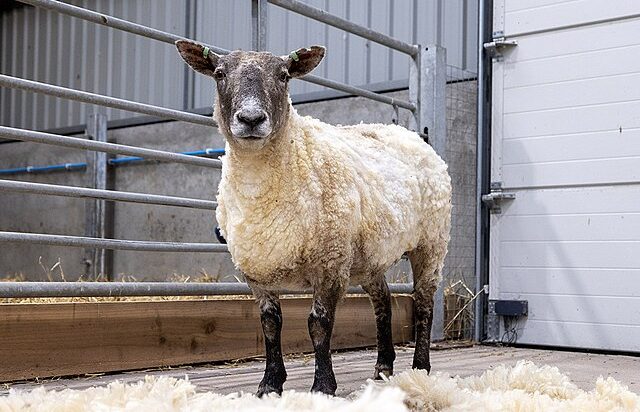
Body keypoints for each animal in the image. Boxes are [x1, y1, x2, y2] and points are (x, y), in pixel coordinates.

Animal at [175, 41, 452, 397]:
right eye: (220, 73)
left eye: (283, 75)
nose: (251, 119)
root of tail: (408, 133)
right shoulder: (257, 270)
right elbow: (270, 324)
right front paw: (269, 384)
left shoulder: (330, 263)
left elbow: (318, 324)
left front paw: (322, 385)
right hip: (368, 256)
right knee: (383, 302)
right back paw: (383, 367)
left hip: (431, 241)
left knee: (423, 304)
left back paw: (420, 367)